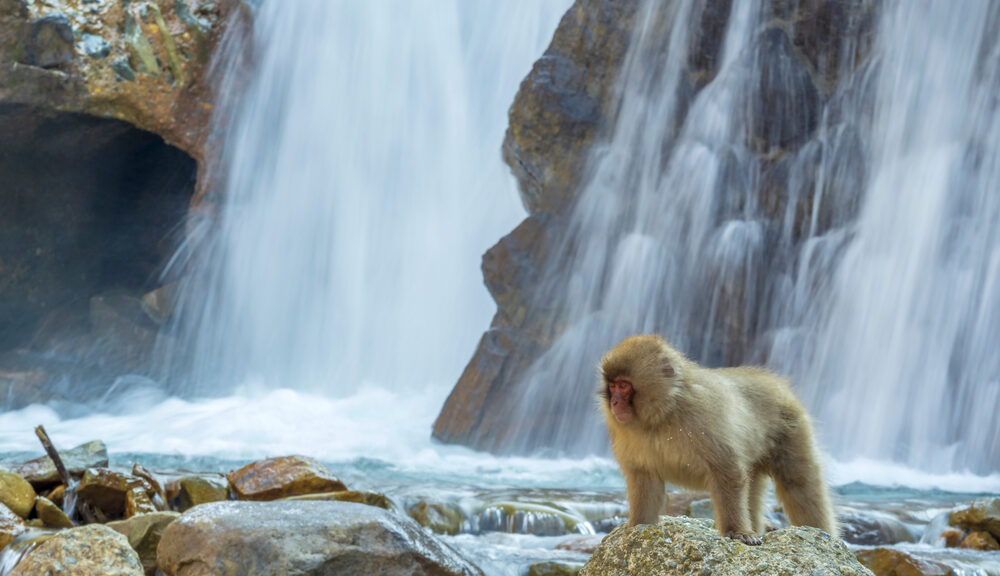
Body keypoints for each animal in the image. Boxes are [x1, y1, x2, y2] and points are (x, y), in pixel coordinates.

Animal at [596, 332, 840, 544]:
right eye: (612, 385)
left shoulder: (703, 418)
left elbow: (726, 470)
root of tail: (775, 382)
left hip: (791, 427)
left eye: (624, 385)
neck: (663, 413)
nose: (614, 402)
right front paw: (638, 525)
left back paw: (822, 532)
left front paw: (737, 531)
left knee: (799, 482)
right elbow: (644, 477)